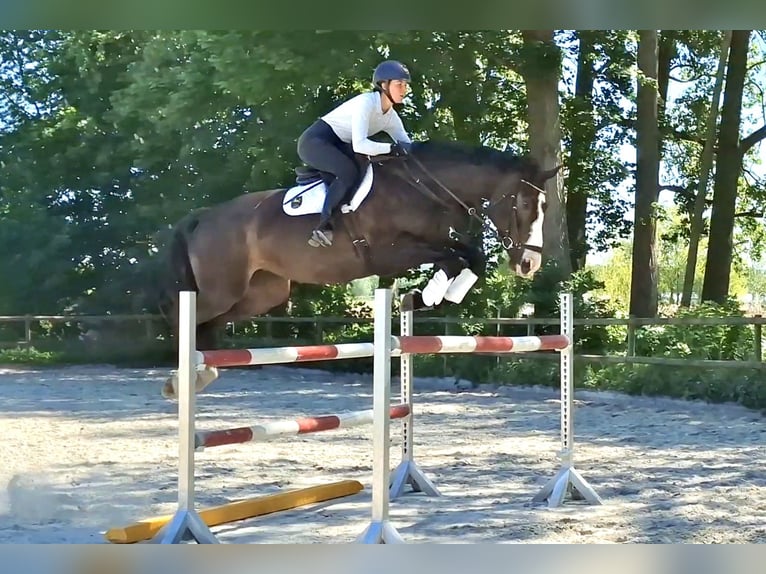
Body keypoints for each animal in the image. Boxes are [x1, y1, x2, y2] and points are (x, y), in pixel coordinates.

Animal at [154, 139, 561, 398]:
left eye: (544, 206)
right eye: (524, 204)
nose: (530, 263)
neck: (424, 188)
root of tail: (204, 216)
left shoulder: (432, 242)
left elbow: (470, 256)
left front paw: (428, 297)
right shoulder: (389, 253)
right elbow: (457, 257)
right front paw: (428, 293)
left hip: (261, 293)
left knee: (212, 322)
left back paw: (202, 372)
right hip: (223, 287)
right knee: (183, 313)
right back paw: (180, 377)